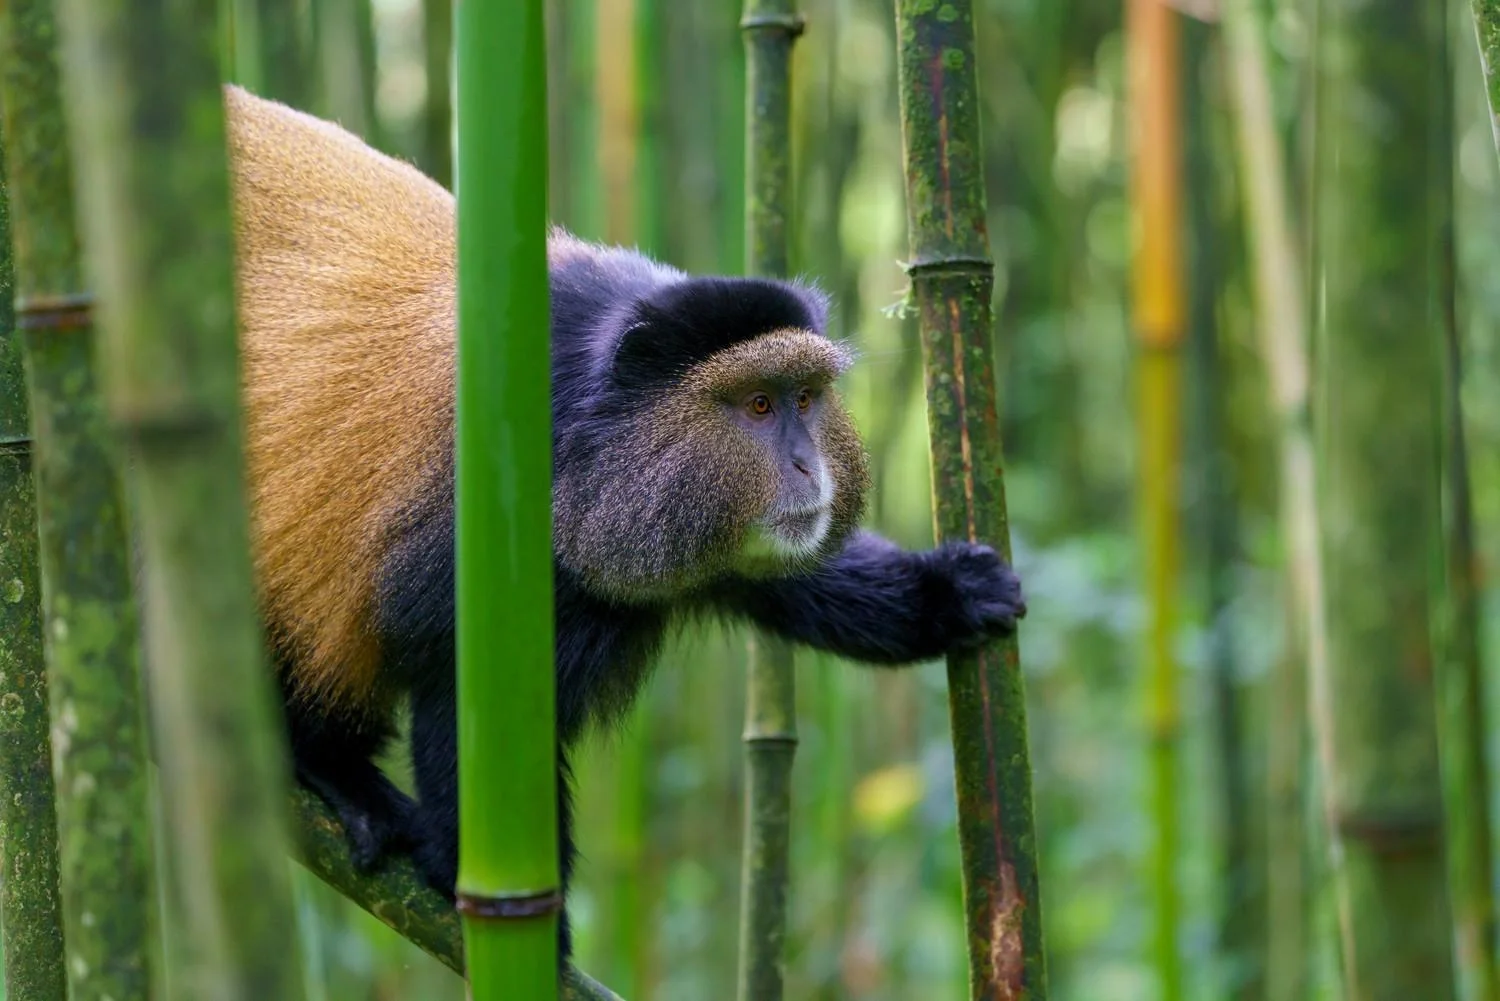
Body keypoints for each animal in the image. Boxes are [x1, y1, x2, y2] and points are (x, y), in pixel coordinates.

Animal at [220, 83, 1026, 962]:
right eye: (758, 404)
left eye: (807, 399)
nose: (808, 466)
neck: (592, 421)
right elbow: (470, 713)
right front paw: (515, 923)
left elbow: (789, 579)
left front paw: (951, 591)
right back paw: (330, 767)